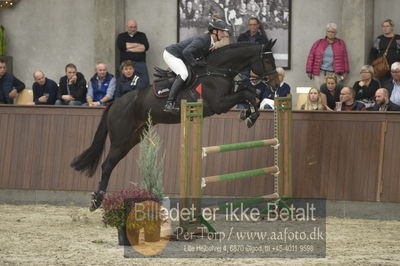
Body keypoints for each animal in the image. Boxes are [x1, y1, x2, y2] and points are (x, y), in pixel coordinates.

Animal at [71, 40, 278, 211]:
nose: (275, 84)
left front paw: (248, 114)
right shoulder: (219, 104)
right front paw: (250, 116)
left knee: (111, 163)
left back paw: (97, 199)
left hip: (132, 138)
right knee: (106, 165)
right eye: (268, 61)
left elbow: (249, 91)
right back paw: (96, 200)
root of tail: (115, 103)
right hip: (120, 138)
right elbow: (247, 93)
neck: (217, 70)